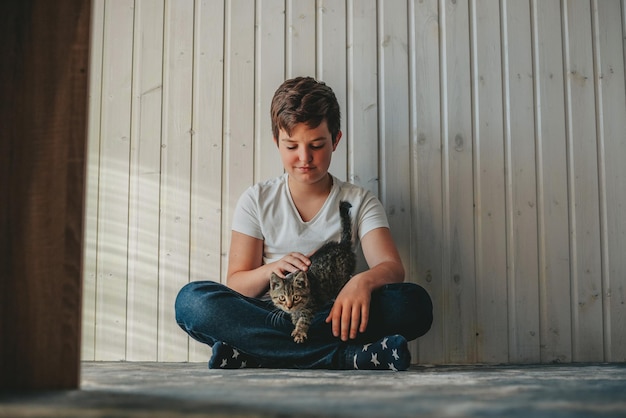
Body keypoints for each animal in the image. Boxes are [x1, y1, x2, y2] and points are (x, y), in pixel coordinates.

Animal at [270, 202, 356, 342]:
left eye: (296, 297)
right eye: (282, 298)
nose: (289, 306)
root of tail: (342, 245)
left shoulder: (310, 306)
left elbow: (304, 319)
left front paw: (299, 332)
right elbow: (296, 316)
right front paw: (295, 321)